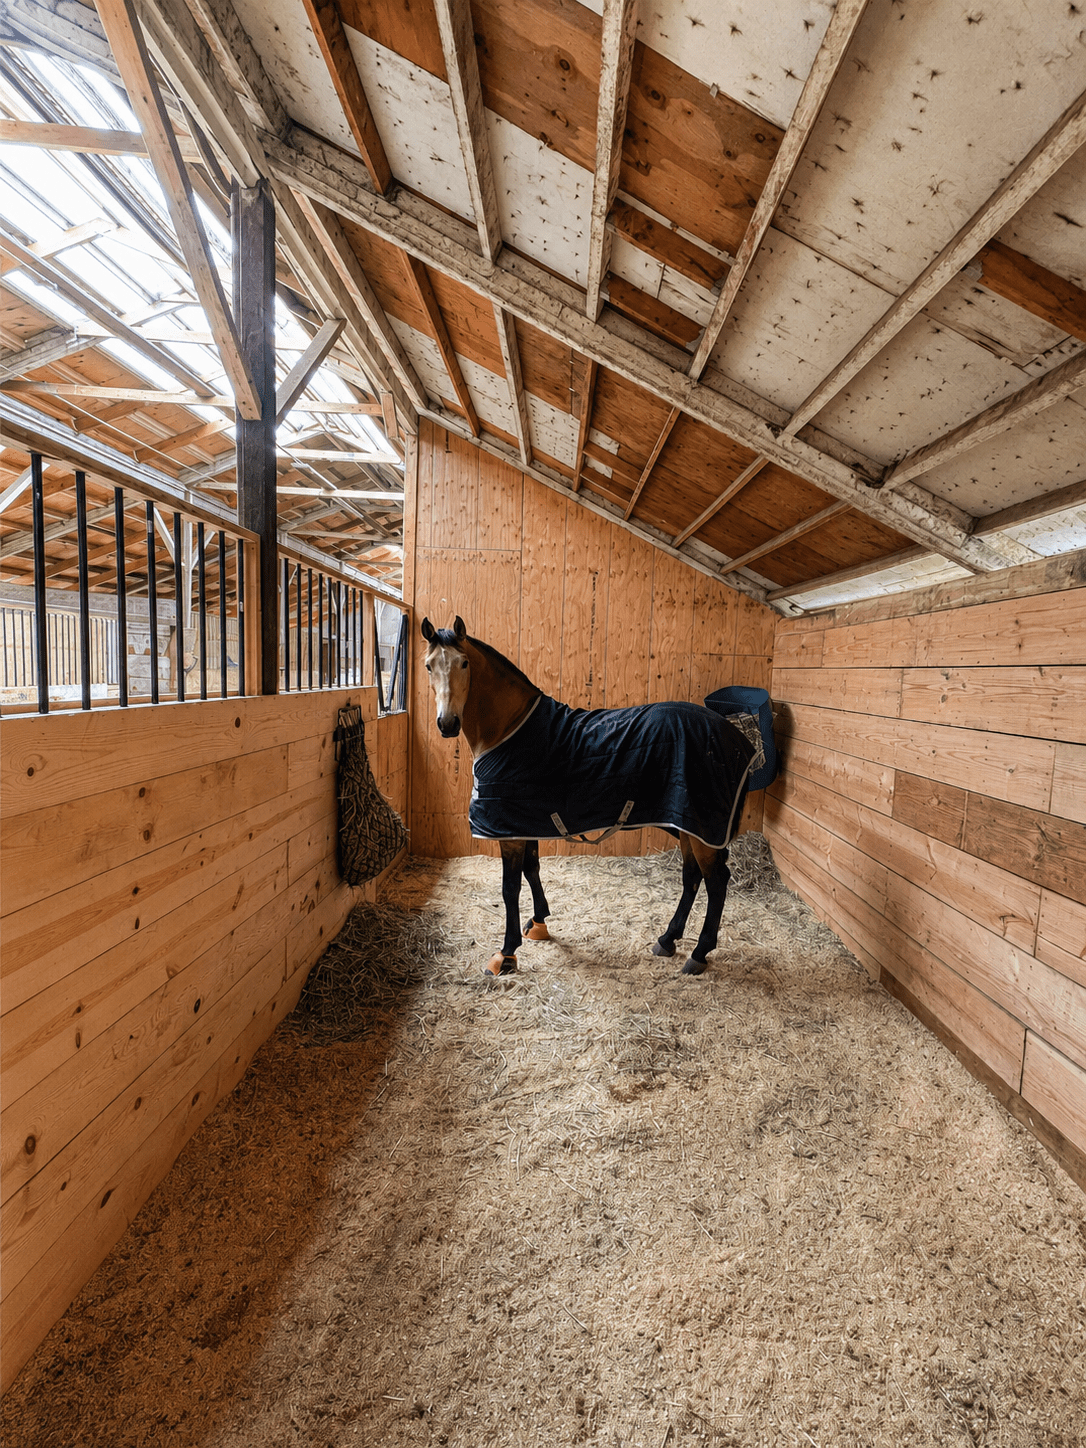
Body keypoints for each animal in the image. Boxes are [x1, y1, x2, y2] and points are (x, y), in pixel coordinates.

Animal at [421, 616, 763, 979]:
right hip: (686, 825)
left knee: (716, 882)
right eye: (429, 666)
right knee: (692, 877)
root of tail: (739, 739)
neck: (510, 728)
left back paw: (699, 953)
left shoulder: (508, 831)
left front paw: (507, 953)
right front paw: (539, 922)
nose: (447, 723)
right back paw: (667, 939)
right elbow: (532, 868)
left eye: (464, 663)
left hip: (702, 830)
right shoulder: (526, 821)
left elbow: (510, 887)